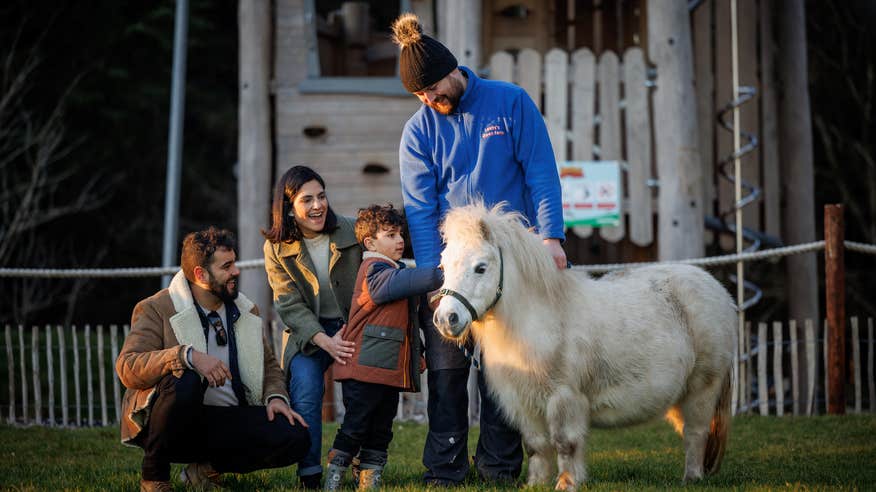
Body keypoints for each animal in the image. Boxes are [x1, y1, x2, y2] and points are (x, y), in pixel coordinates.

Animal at [434, 204, 736, 488]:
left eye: (480, 268)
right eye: (443, 267)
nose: (446, 319)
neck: (540, 320)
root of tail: (718, 290)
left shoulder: (564, 398)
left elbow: (565, 443)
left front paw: (567, 483)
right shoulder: (524, 402)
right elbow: (535, 445)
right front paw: (535, 483)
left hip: (702, 389)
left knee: (696, 433)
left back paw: (692, 478)